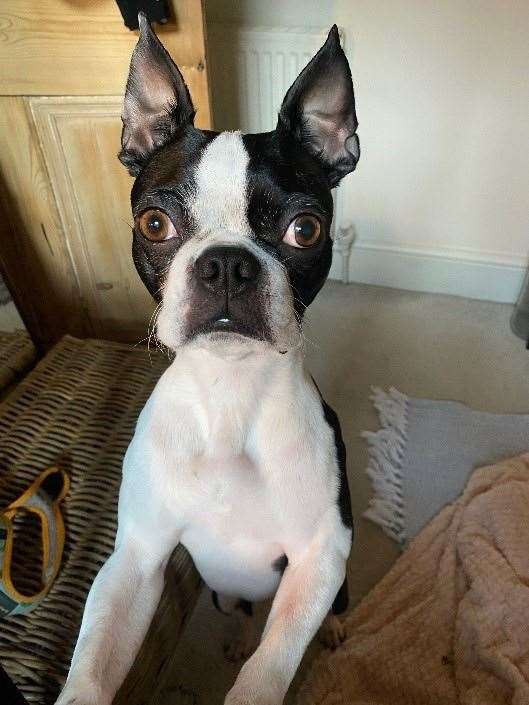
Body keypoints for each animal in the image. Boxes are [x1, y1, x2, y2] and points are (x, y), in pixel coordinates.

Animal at [55, 12, 356, 704]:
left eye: (306, 230)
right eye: (154, 223)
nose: (226, 262)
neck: (229, 395)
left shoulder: (321, 553)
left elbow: (271, 663)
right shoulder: (136, 558)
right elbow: (94, 659)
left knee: (327, 609)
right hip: (223, 593)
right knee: (242, 613)